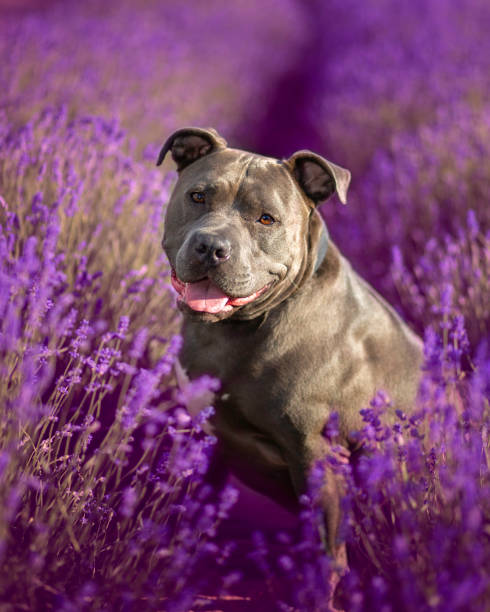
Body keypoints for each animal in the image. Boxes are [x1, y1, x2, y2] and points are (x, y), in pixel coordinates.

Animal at [156, 128, 422, 568]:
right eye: (198, 196)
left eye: (267, 219)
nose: (211, 246)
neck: (236, 330)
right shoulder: (210, 438)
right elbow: (194, 514)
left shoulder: (316, 456)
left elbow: (327, 556)